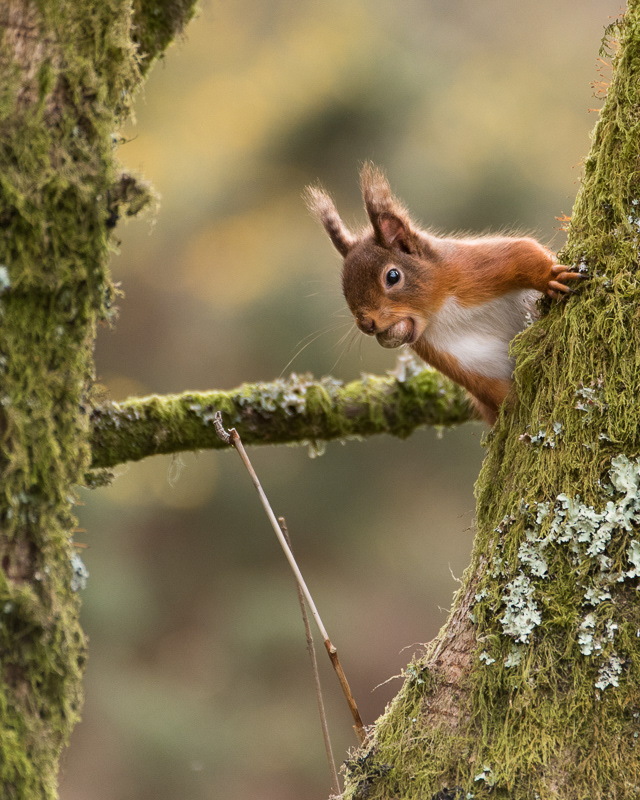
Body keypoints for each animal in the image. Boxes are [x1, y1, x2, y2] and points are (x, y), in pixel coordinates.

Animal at [305, 163, 584, 425]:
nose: (366, 324)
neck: (441, 311)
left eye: (392, 276)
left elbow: (522, 253)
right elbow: (494, 391)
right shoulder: (457, 359)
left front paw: (550, 277)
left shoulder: (474, 267)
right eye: (344, 291)